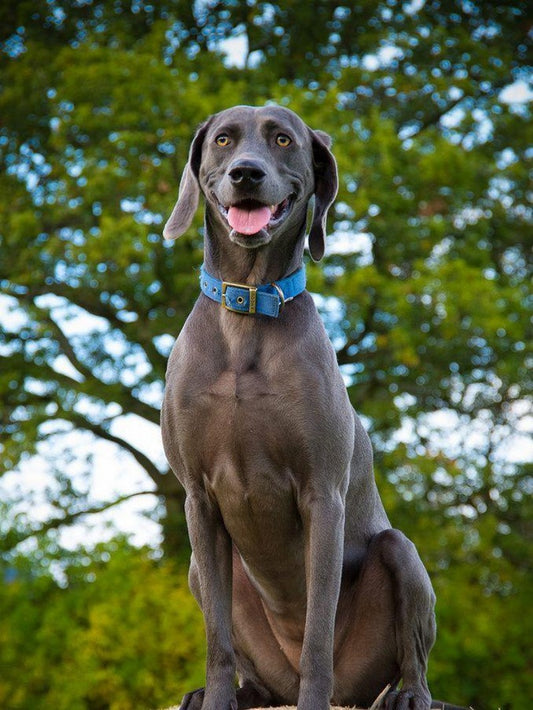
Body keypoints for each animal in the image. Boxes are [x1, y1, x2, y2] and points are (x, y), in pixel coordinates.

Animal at [161, 105, 436, 710]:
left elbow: (317, 627)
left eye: (283, 140)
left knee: (410, 653)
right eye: (223, 140)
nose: (246, 173)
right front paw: (215, 696)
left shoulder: (322, 495)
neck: (249, 306)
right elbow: (216, 635)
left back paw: (406, 694)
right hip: (202, 573)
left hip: (401, 556)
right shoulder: (198, 500)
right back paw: (236, 693)